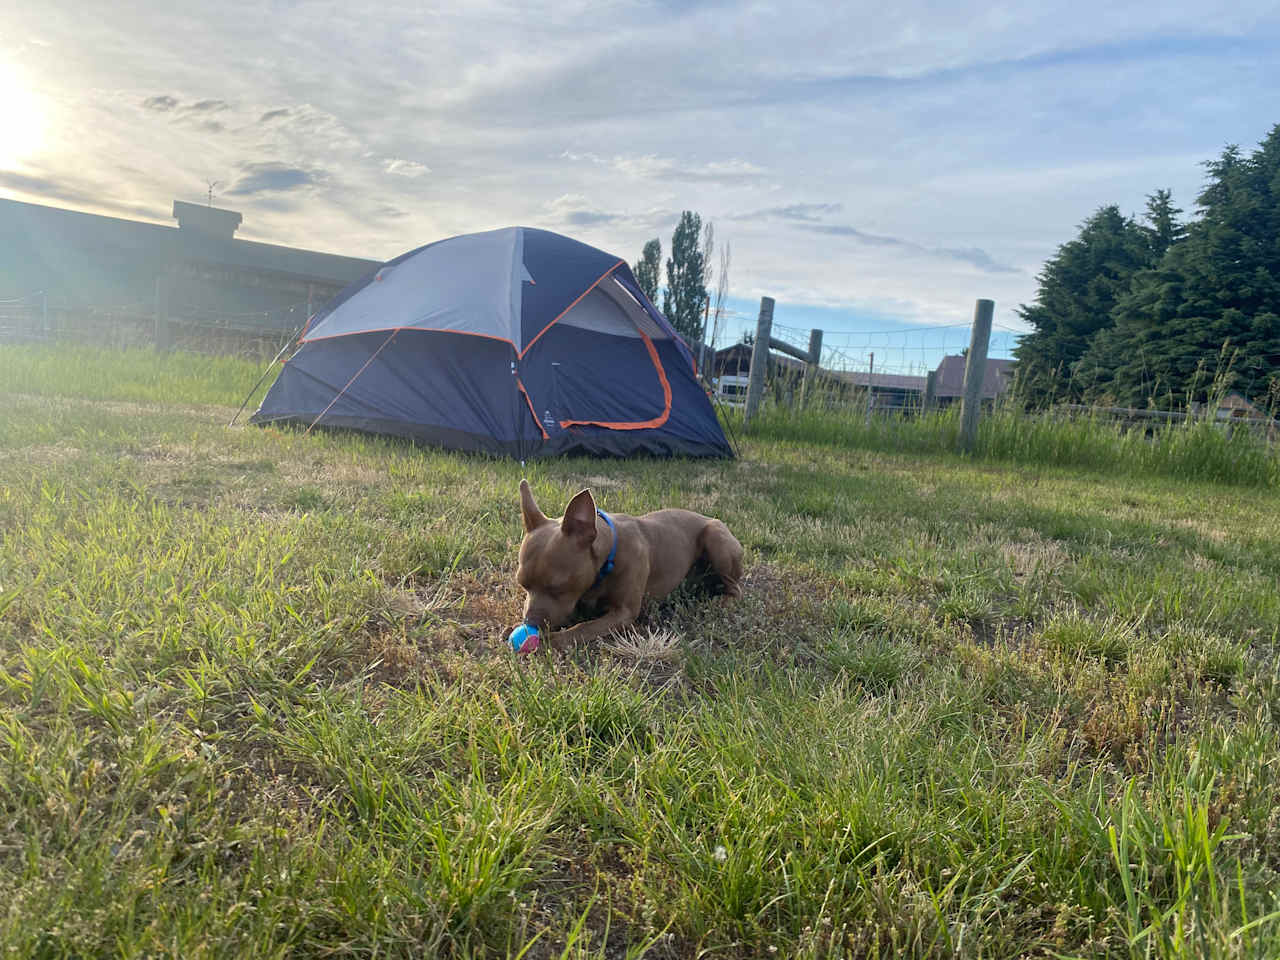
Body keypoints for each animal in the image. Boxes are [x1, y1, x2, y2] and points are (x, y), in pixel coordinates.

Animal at [514, 483, 747, 650]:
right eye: (522, 585)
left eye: (558, 588)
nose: (530, 623)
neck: (609, 556)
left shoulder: (624, 613)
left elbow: (584, 627)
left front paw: (552, 640)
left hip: (715, 538)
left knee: (735, 589)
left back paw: (717, 602)